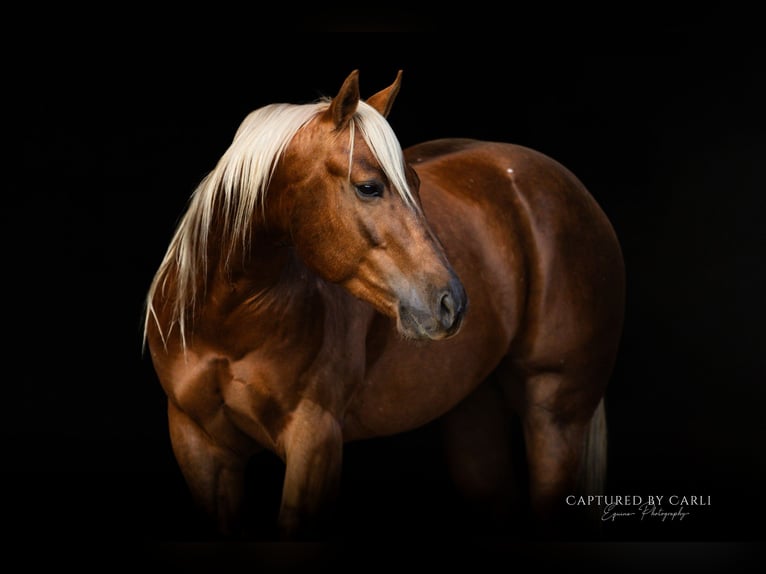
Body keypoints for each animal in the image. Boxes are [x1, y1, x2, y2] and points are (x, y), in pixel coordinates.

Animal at [143, 69, 625, 539]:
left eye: (415, 183)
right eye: (369, 187)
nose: (451, 302)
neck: (227, 321)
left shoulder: (314, 440)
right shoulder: (200, 447)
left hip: (556, 417)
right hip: (474, 411)